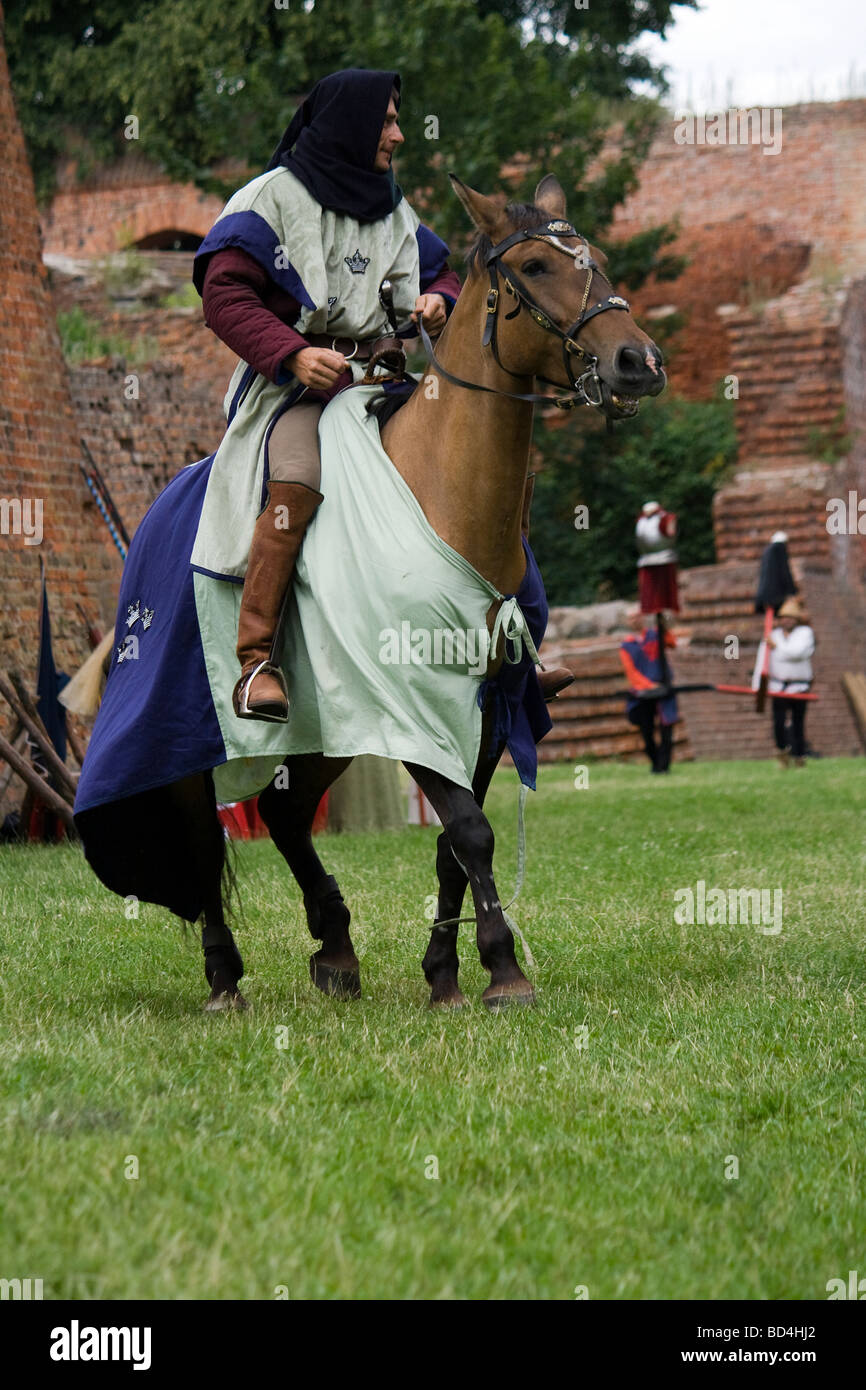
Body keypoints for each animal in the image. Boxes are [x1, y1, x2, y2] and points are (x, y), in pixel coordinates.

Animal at [74, 172, 665, 1012]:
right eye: (538, 267)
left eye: (601, 261)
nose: (637, 362)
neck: (444, 494)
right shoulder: (408, 696)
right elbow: (470, 830)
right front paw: (503, 971)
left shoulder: (485, 707)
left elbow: (456, 840)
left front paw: (445, 973)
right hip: (191, 722)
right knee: (199, 827)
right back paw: (223, 976)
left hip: (323, 727)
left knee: (285, 813)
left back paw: (336, 948)